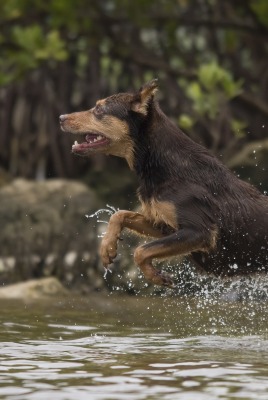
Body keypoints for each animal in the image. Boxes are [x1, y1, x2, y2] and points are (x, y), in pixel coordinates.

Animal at [60, 80, 268, 288]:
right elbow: (120, 214)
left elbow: (140, 251)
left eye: (99, 109)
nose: (61, 117)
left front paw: (155, 276)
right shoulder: (164, 224)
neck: (163, 166)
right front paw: (107, 248)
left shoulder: (200, 231)